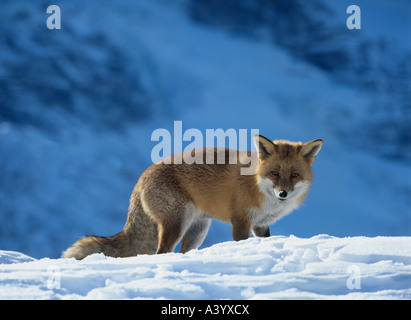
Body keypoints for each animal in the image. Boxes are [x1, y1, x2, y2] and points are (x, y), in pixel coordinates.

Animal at [62, 135, 324, 260]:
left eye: (294, 175)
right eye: (274, 174)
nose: (283, 193)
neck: (257, 184)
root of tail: (142, 175)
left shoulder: (260, 224)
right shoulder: (241, 221)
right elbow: (240, 241)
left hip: (198, 230)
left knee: (182, 253)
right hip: (177, 223)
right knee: (161, 252)